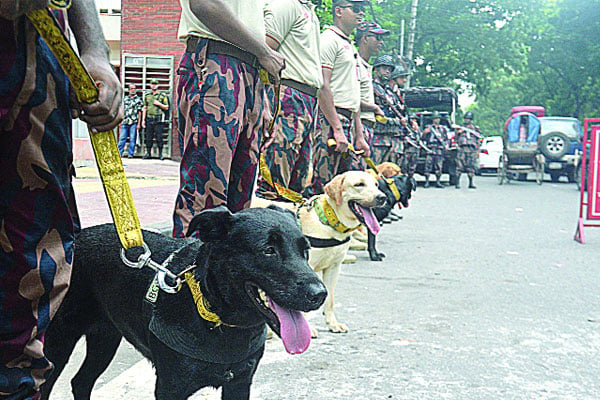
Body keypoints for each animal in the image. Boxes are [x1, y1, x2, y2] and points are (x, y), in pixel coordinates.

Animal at [41, 206, 328, 400]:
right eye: (268, 250)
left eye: (305, 251)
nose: (320, 294)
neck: (217, 318)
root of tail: (75, 240)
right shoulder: (171, 387)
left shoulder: (239, 382)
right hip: (59, 342)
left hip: (105, 338)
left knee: (81, 381)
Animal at [298, 170, 386, 334]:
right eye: (359, 184)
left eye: (376, 184)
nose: (382, 197)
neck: (329, 223)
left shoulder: (334, 268)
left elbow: (330, 300)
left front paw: (333, 324)